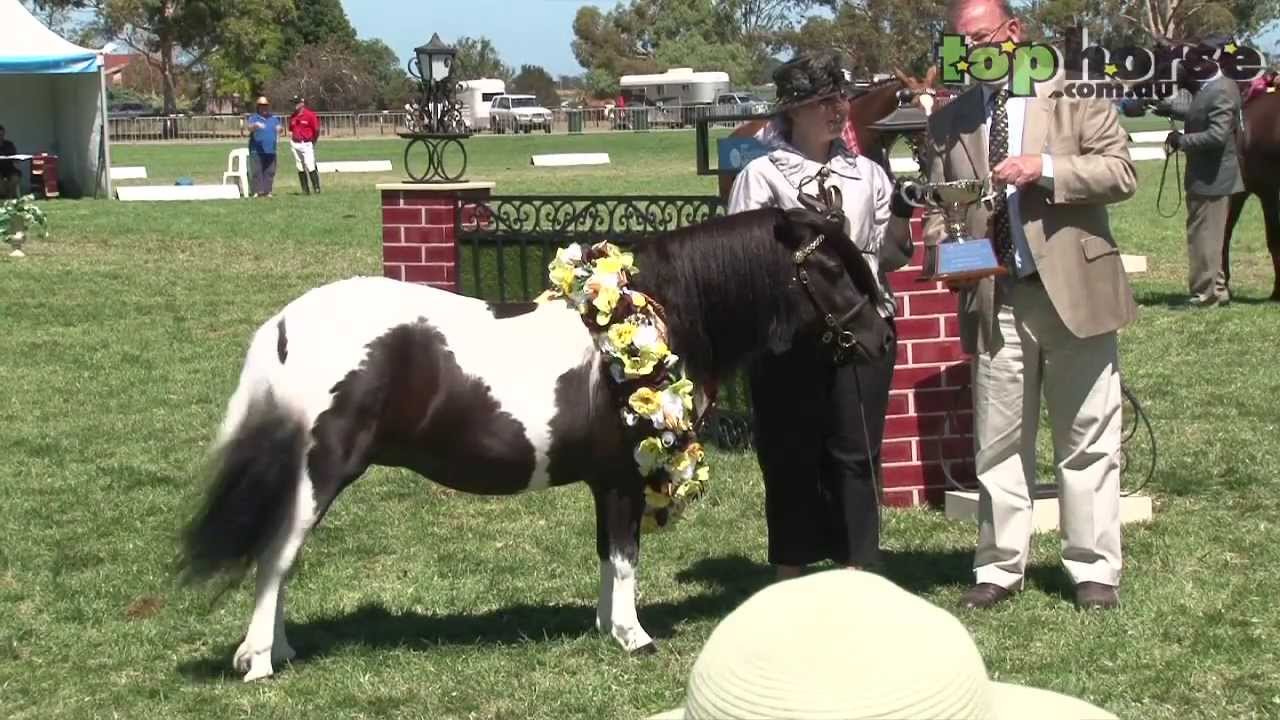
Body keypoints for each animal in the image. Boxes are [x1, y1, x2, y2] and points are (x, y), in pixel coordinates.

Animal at [176, 204, 895, 682]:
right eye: (827, 267)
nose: (883, 337)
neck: (663, 316)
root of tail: (285, 324)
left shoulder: (606, 483)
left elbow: (608, 555)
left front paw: (607, 628)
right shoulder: (627, 478)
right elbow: (627, 558)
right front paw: (636, 638)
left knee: (281, 557)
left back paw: (280, 650)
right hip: (319, 471)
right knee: (276, 556)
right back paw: (261, 662)